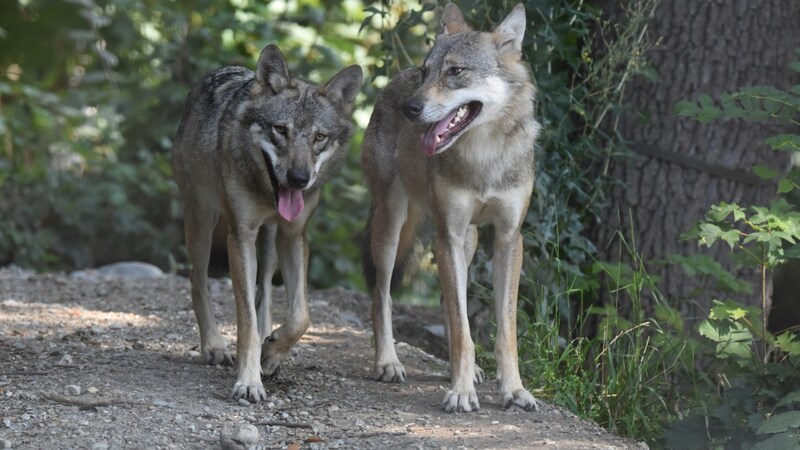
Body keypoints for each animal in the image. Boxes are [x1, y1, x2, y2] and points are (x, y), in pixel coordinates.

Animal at [176, 44, 366, 402]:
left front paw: (273, 351)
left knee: (263, 290)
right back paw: (214, 346)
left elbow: (300, 316)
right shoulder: (240, 235)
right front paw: (249, 381)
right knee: (198, 280)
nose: (299, 179)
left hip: (270, 242)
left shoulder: (294, 235)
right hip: (202, 223)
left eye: (319, 137)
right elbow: (246, 323)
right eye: (280, 130)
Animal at [360, 1, 536, 414]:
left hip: (468, 242)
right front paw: (460, 392)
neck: (484, 157)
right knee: (381, 295)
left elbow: (503, 330)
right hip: (392, 227)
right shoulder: (448, 234)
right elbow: (461, 329)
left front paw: (514, 389)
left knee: (445, 299)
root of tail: (393, 82)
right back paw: (387, 362)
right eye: (427, 72)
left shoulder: (508, 238)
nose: (410, 108)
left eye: (455, 72)